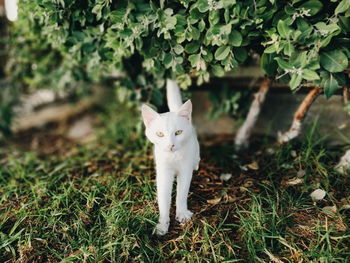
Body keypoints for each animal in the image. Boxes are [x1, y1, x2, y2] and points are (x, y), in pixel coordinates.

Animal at [139, 79, 200, 236]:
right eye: (160, 134)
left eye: (178, 132)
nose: (170, 145)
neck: (174, 156)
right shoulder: (163, 173)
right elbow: (164, 198)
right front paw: (162, 224)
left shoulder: (185, 171)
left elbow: (181, 193)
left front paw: (182, 214)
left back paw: (196, 162)